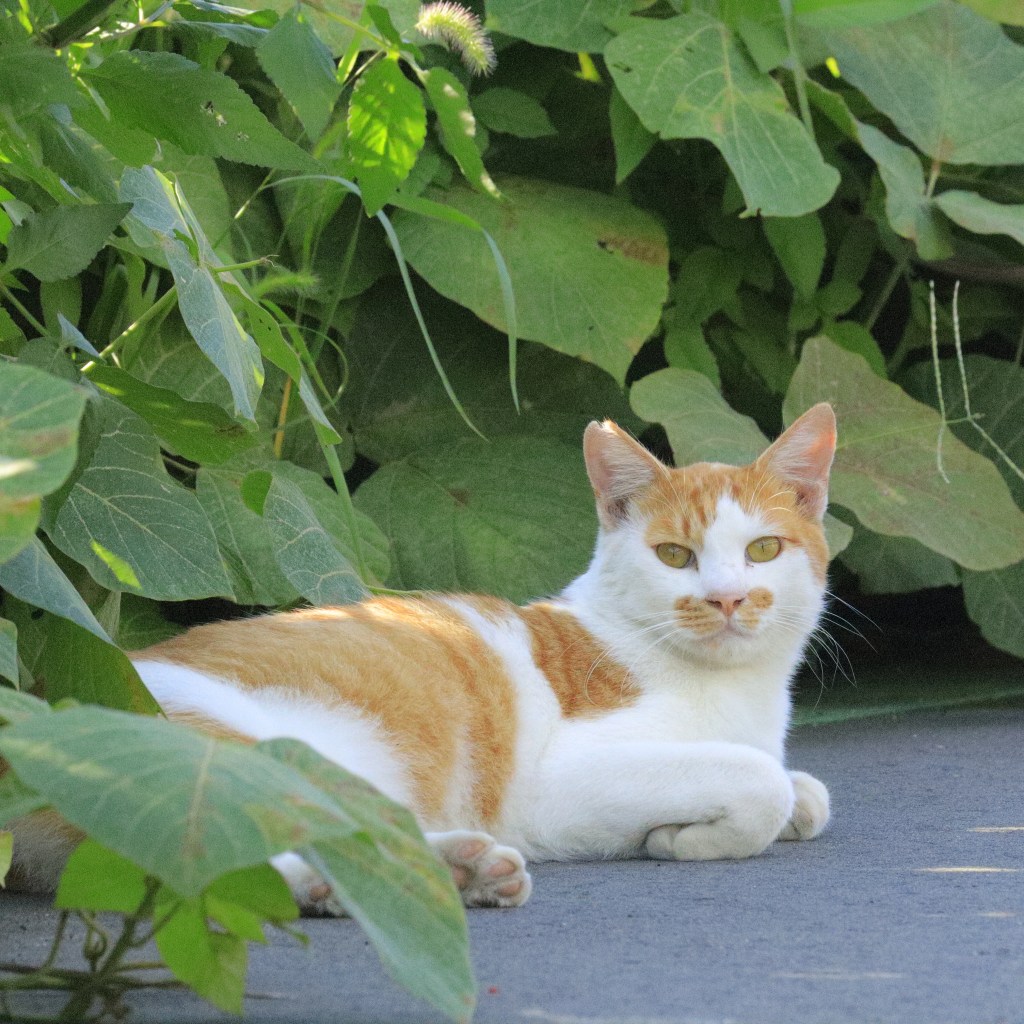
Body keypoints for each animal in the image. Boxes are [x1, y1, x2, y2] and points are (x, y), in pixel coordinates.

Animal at [8, 403, 836, 914]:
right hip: (243, 758)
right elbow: (759, 783)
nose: (728, 598)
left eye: (763, 549)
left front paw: (788, 801)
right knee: (226, 862)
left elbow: (805, 790)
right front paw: (686, 837)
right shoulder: (557, 786)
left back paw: (459, 871)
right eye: (674, 556)